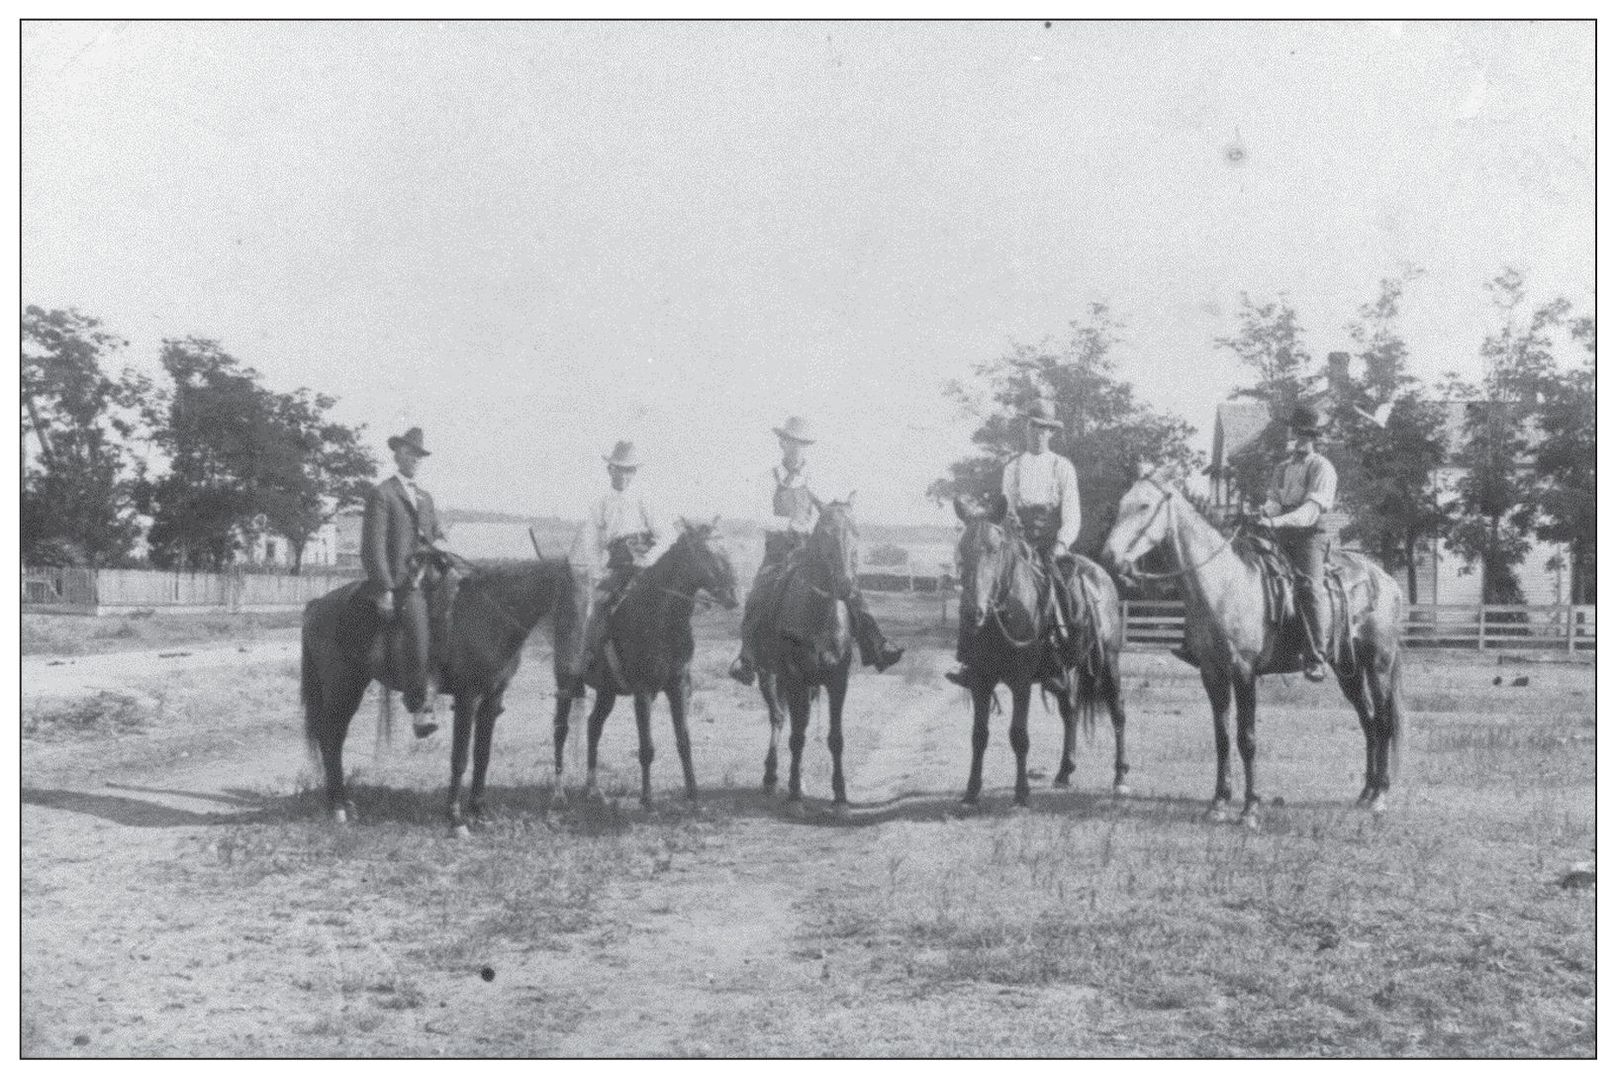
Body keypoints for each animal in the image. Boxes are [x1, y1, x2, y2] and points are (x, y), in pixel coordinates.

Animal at [303, 551, 581, 839]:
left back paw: (343, 802)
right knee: (330, 738)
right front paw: (456, 819)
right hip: (342, 686)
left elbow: (482, 756)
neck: (488, 619)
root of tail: (318, 605)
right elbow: (460, 758)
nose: (572, 669)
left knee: (334, 738)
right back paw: (338, 807)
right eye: (569, 605)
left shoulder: (492, 699)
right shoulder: (467, 698)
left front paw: (479, 813)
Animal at [551, 522, 735, 806]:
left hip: (607, 692)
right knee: (561, 729)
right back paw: (559, 793)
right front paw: (647, 799)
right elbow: (646, 747)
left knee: (593, 726)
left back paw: (593, 789)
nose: (733, 595)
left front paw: (693, 795)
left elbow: (684, 742)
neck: (660, 616)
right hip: (566, 683)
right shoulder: (643, 691)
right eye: (705, 552)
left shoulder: (678, 687)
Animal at [748, 493, 865, 810]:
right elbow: (797, 735)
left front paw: (840, 795)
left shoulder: (837, 681)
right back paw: (772, 777)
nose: (846, 584)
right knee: (779, 718)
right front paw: (794, 795)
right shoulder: (794, 678)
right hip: (770, 676)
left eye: (856, 531)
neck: (819, 617)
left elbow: (835, 737)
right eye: (824, 533)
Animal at [949, 500, 1129, 806]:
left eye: (994, 549)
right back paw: (1064, 772)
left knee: (1118, 712)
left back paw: (1120, 777)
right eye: (962, 549)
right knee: (1070, 711)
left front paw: (1022, 792)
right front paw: (972, 791)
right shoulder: (980, 681)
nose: (973, 612)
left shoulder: (1021, 683)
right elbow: (979, 735)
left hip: (1109, 663)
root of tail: (1101, 575)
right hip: (1062, 673)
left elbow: (1019, 736)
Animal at [1103, 477, 1407, 822]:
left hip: (1379, 665)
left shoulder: (1244, 671)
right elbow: (1222, 738)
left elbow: (1246, 738)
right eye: (1123, 503)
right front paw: (1219, 802)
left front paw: (1250, 806)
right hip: (1349, 671)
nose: (1109, 556)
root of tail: (1387, 581)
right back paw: (1366, 793)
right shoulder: (1212, 673)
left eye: (1144, 505)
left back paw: (1380, 796)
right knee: (1369, 722)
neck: (1225, 585)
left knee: (1383, 723)